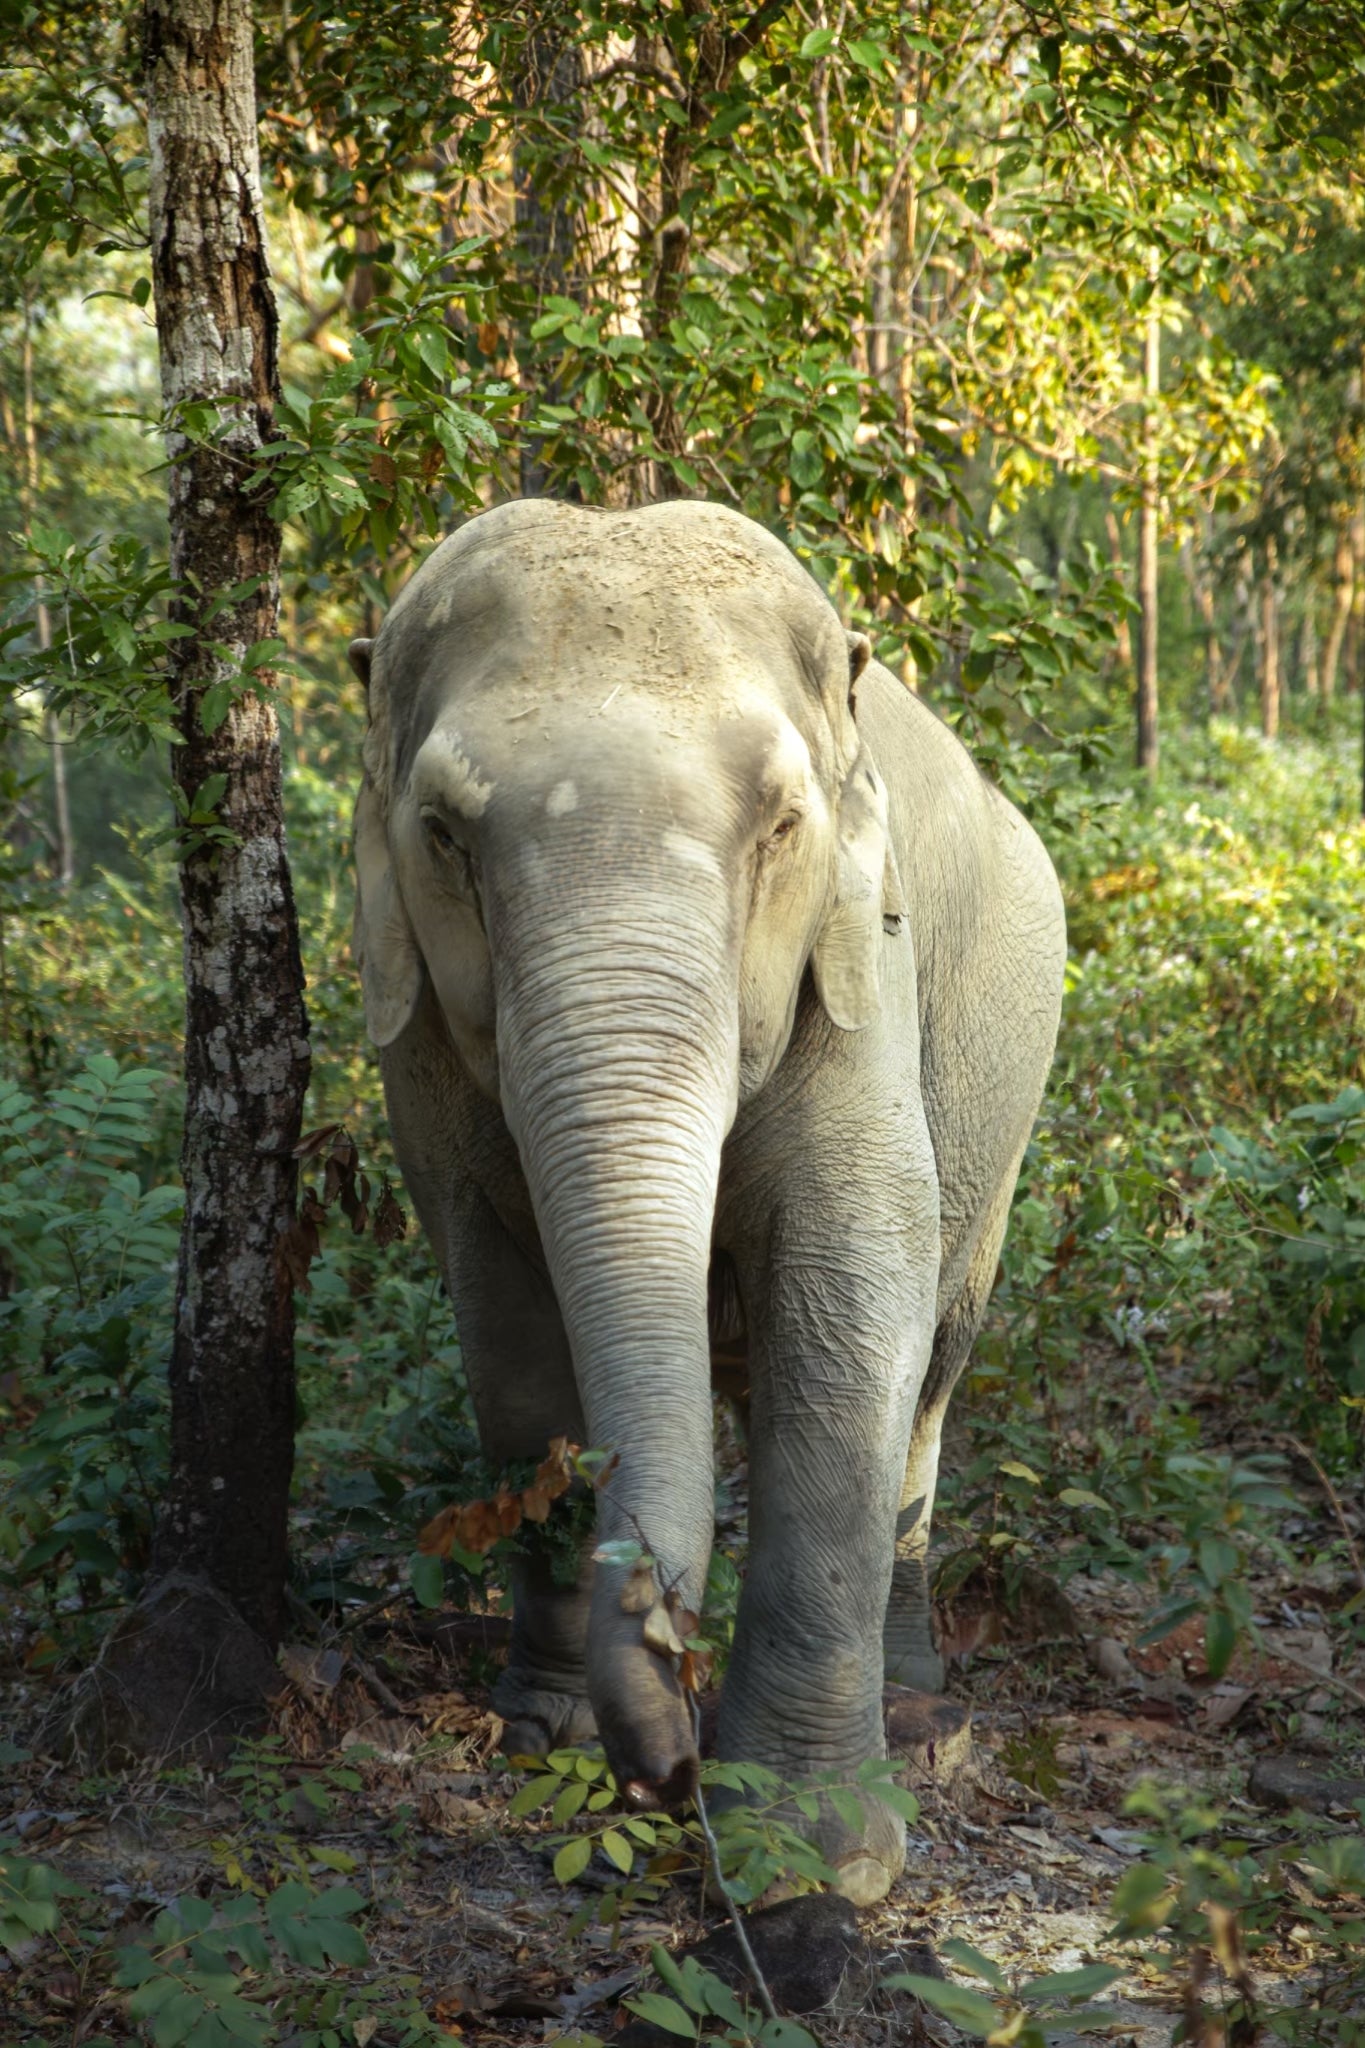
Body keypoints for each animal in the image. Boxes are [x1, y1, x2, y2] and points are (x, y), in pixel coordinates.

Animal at [343, 495, 1064, 1900]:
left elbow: (854, 1296)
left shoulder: (861, 965)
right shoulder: (417, 1041)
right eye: (445, 835)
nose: (672, 1761)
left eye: (783, 824)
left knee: (939, 1372)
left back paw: (914, 1697)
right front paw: (551, 1729)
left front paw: (816, 1849)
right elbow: (506, 1337)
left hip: (1009, 1097)